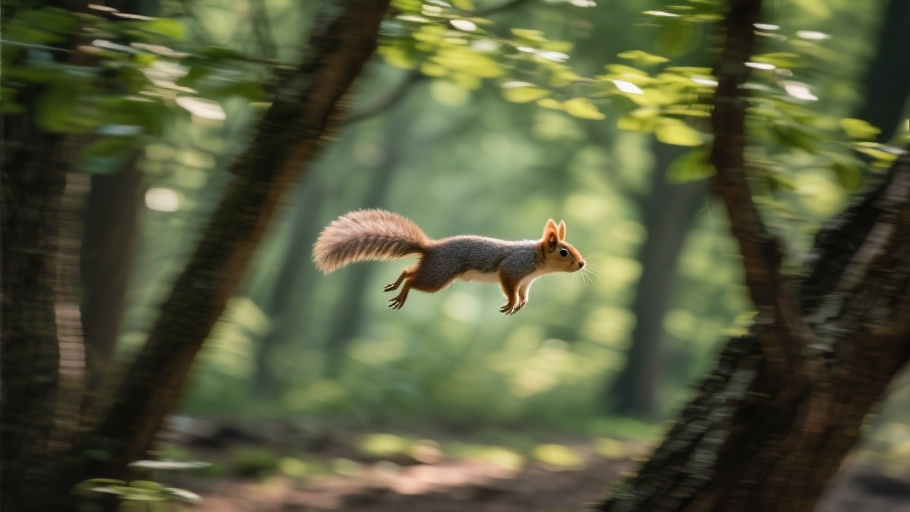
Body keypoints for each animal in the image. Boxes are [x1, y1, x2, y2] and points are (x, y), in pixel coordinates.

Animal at [312, 209, 586, 314]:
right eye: (564, 252)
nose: (582, 264)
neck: (535, 259)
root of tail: (431, 248)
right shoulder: (512, 268)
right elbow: (509, 286)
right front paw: (510, 303)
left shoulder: (525, 281)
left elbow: (522, 292)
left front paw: (521, 303)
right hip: (438, 275)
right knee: (413, 279)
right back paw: (402, 294)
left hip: (433, 270)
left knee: (408, 270)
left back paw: (395, 286)